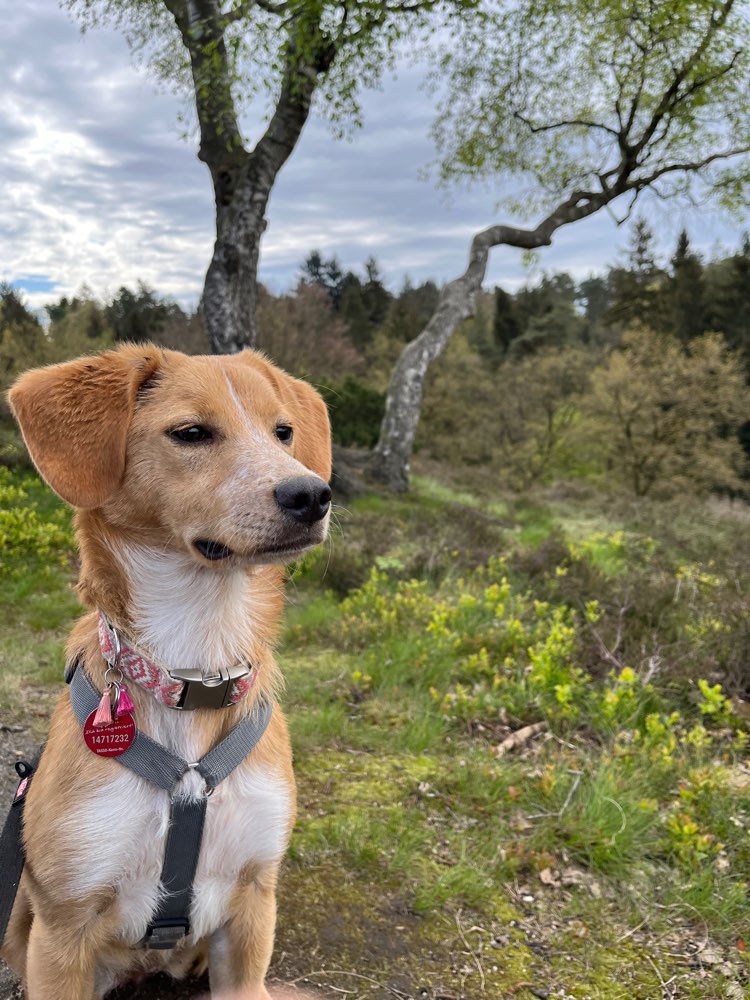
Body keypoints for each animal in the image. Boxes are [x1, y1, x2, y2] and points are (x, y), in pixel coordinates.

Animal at [2, 340, 332, 996]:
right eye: (191, 433)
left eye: (283, 432)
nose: (312, 494)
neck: (196, 667)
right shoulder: (62, 933)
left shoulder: (253, 911)